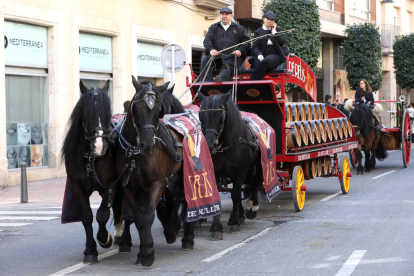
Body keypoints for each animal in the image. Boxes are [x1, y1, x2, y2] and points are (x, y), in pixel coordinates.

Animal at [61, 81, 123, 264]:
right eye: (85, 112)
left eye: (107, 111)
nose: (99, 146)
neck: (91, 158)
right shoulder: (78, 187)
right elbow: (86, 216)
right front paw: (90, 251)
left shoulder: (111, 186)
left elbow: (102, 214)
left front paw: (104, 239)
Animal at [115, 76, 195, 266]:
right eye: (136, 108)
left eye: (159, 110)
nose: (147, 144)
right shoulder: (129, 187)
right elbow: (139, 218)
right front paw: (143, 251)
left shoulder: (157, 184)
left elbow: (148, 216)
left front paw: (148, 253)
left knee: (187, 199)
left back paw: (187, 238)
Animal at [196, 92, 262, 239]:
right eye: (200, 116)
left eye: (220, 116)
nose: (209, 144)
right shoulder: (215, 171)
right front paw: (216, 228)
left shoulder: (241, 171)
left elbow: (236, 195)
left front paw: (234, 222)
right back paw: (241, 213)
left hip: (258, 164)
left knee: (256, 182)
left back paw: (252, 207)